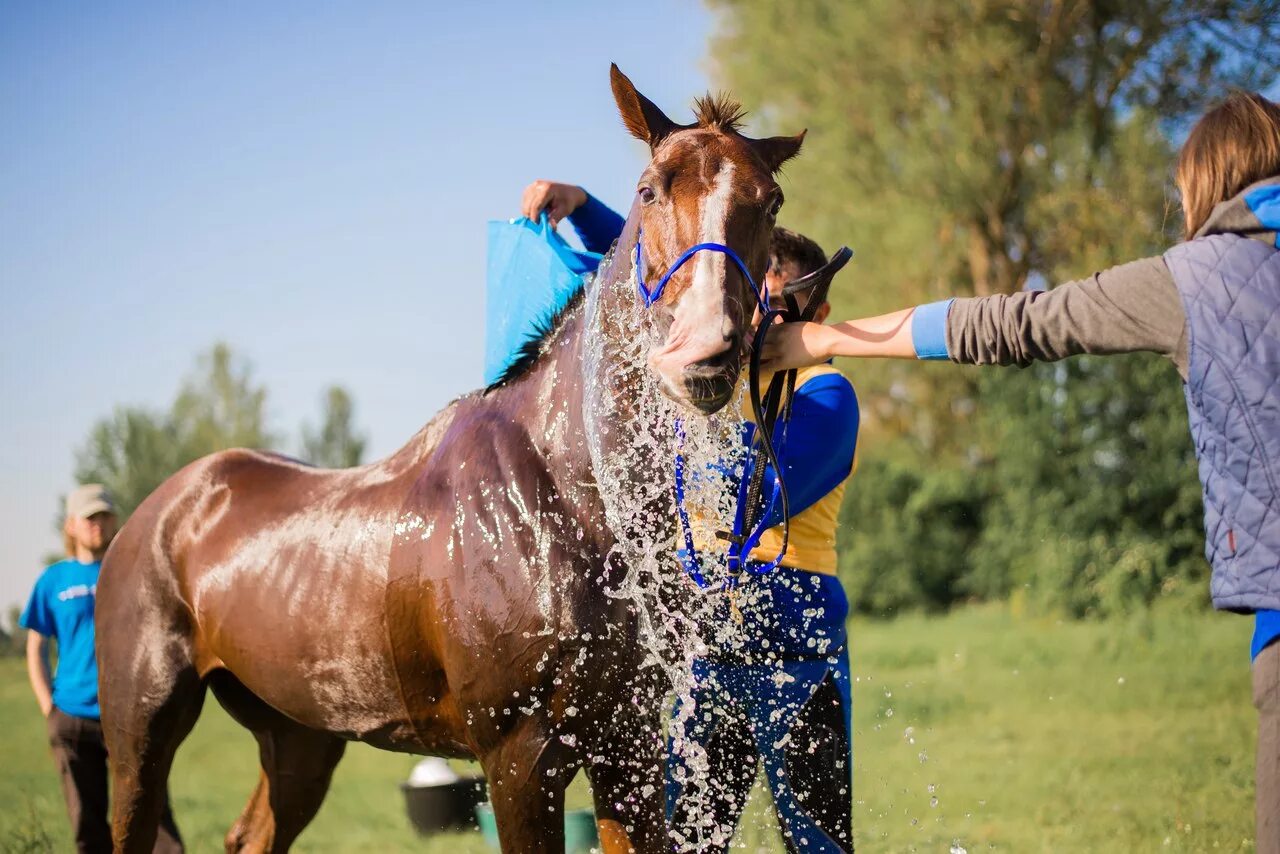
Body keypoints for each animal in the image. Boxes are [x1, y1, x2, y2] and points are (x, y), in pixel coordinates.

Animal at [97, 66, 798, 854]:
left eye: (769, 201)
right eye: (650, 189)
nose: (703, 352)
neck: (565, 498)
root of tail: (162, 510)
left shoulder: (630, 748)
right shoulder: (520, 757)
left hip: (300, 734)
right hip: (141, 731)